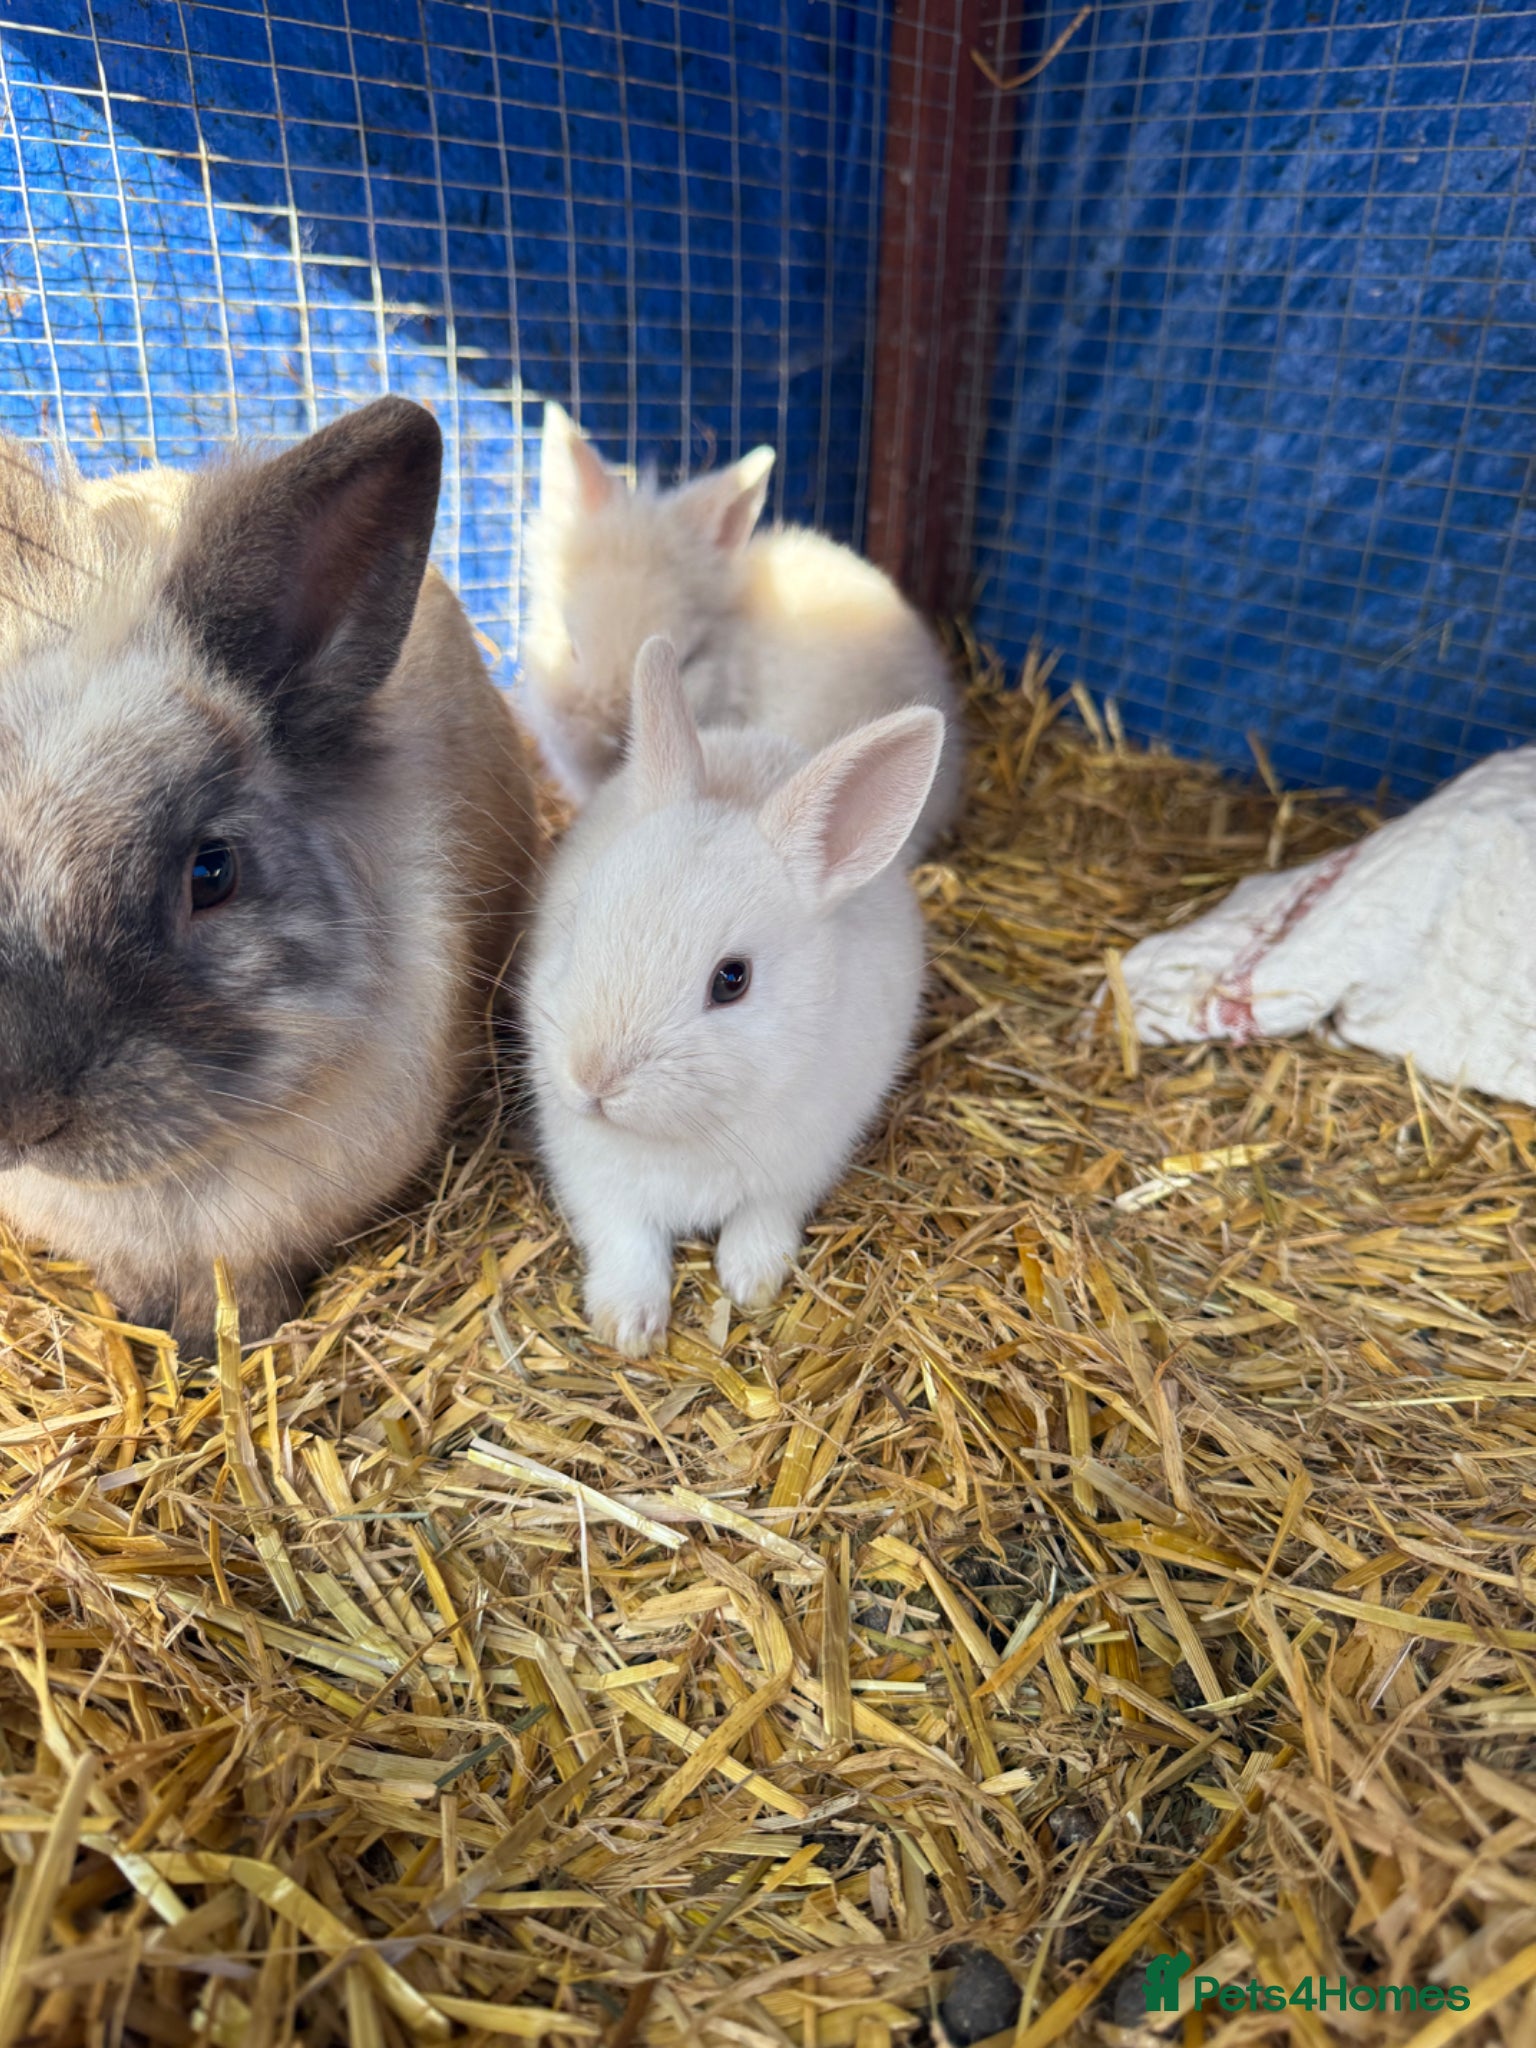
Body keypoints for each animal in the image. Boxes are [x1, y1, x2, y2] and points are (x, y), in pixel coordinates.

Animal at [525, 634, 943, 1357]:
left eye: (732, 980)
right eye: (578, 923)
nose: (592, 1081)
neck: (688, 1130)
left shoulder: (799, 1167)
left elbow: (762, 1221)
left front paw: (752, 1283)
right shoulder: (595, 1179)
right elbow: (626, 1242)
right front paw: (628, 1327)